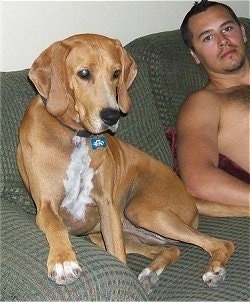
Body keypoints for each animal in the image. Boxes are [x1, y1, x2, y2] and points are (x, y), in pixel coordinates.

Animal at [17, 33, 248, 292]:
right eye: (84, 73)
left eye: (116, 73)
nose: (112, 115)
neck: (75, 134)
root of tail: (190, 195)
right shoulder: (45, 206)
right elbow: (56, 225)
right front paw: (63, 261)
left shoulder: (107, 206)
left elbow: (118, 256)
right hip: (110, 232)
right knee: (172, 248)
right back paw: (151, 272)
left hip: (141, 211)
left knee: (221, 243)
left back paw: (214, 270)